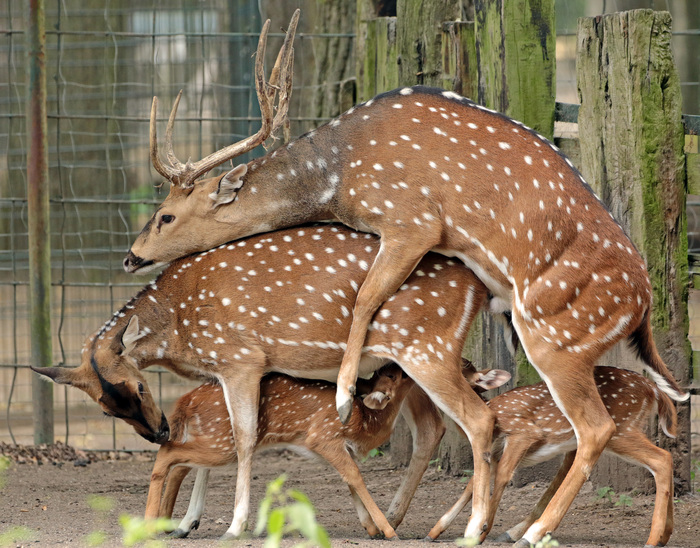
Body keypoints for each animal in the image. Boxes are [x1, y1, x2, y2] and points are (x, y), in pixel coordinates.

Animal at [34, 224, 498, 540]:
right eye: (106, 408)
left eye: (141, 387)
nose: (158, 432)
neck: (181, 327)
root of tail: (479, 288)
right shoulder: (221, 371)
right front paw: (186, 522)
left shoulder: (242, 359)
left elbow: (244, 438)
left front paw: (234, 525)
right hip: (414, 363)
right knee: (433, 429)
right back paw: (402, 519)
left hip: (427, 349)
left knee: (479, 420)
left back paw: (471, 528)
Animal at [426, 366, 680, 544]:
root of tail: (653, 389)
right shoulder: (495, 449)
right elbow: (473, 483)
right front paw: (434, 532)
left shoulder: (523, 433)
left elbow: (501, 477)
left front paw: (481, 532)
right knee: (666, 458)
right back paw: (664, 536)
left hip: (621, 427)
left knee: (661, 458)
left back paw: (652, 539)